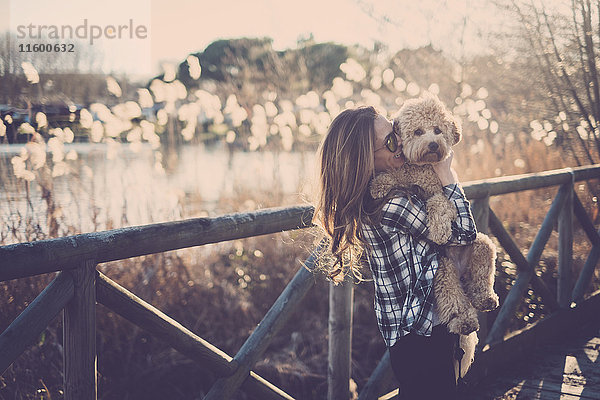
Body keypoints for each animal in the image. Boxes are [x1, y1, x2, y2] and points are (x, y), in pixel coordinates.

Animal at [368, 94, 500, 338]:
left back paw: (485, 299)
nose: (433, 144)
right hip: (443, 268)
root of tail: (460, 270)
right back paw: (464, 320)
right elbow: (392, 177)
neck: (422, 167)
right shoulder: (402, 174)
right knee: (455, 298)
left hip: (481, 245)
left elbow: (436, 201)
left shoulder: (444, 195)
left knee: (481, 279)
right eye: (418, 131)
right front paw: (378, 184)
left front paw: (439, 231)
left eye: (438, 130)